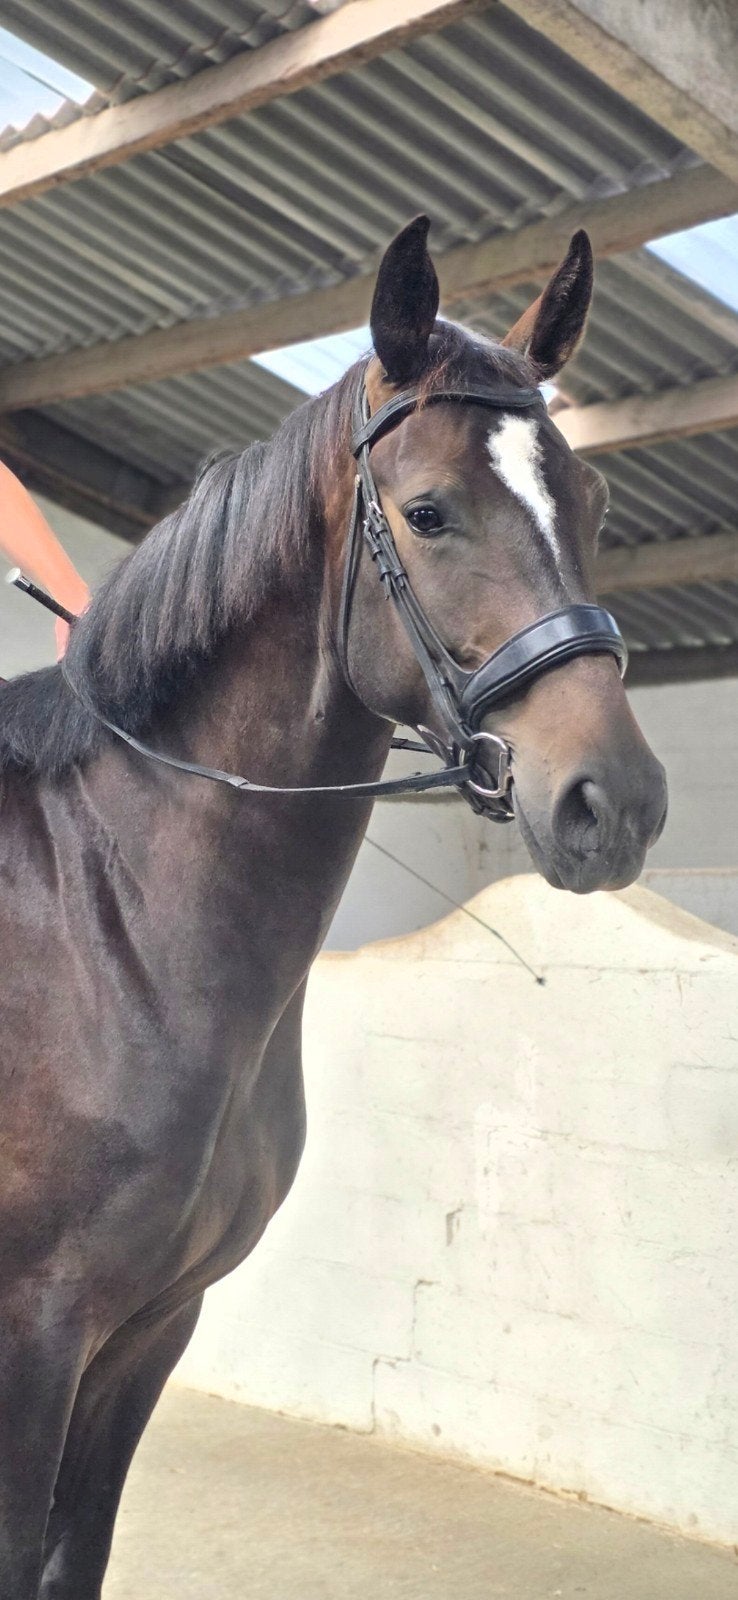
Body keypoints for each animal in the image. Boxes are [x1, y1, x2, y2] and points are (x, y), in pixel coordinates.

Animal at [0, 216, 667, 1597]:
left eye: (587, 503)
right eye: (428, 511)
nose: (615, 803)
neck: (108, 927)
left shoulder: (144, 1329)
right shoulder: (31, 1332)